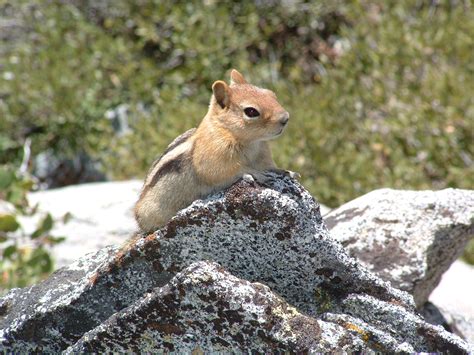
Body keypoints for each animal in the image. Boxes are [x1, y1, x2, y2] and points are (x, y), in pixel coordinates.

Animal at [135, 69, 294, 234]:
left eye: (272, 94)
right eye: (251, 111)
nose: (286, 118)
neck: (250, 142)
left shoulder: (262, 154)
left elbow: (269, 165)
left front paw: (285, 171)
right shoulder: (216, 156)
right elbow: (229, 170)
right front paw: (257, 173)